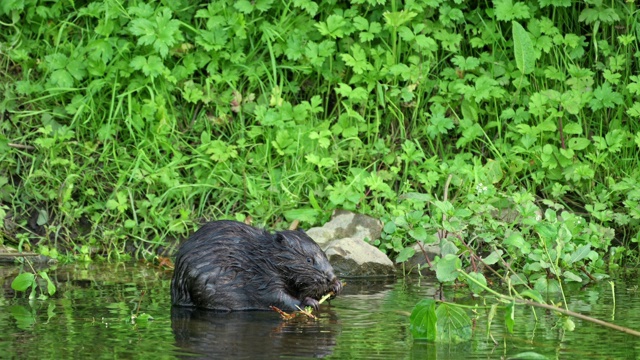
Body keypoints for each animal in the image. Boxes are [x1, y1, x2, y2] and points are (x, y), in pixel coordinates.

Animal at [169, 221, 340, 310]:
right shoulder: (264, 278)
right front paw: (310, 303)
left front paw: (336, 286)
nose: (330, 277)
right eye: (309, 260)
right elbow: (277, 297)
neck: (262, 259)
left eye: (323, 253)